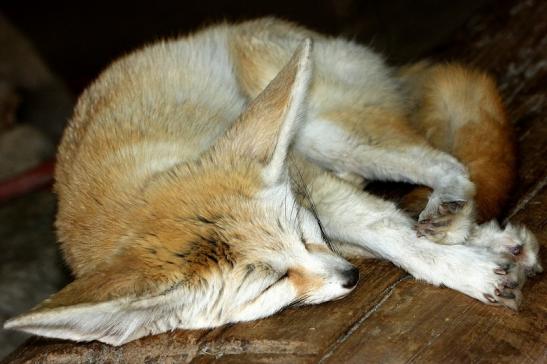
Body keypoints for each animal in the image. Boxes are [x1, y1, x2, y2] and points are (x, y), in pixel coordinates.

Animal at [4, 18, 544, 346]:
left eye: (305, 235)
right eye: (272, 283)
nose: (350, 279)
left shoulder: (307, 186)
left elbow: (393, 234)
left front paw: (466, 270)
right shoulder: (316, 205)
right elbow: (387, 233)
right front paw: (482, 254)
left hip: (323, 131)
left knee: (445, 161)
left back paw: (453, 213)